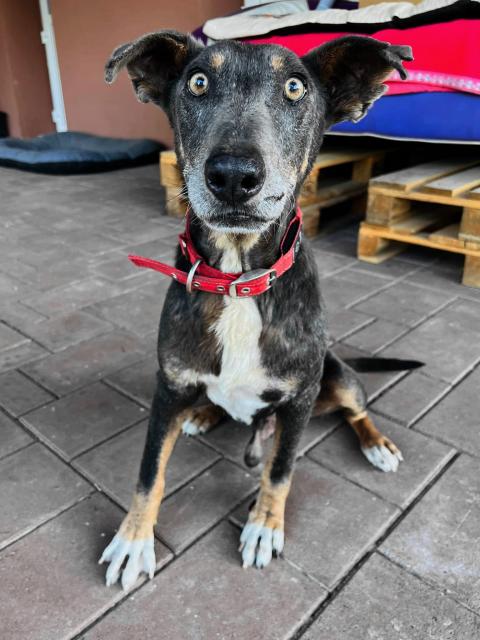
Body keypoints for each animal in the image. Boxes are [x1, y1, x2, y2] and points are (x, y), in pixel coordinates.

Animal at [99, 31, 415, 590]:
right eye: (198, 82)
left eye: (294, 88)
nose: (232, 175)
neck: (238, 280)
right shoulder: (168, 387)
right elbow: (148, 473)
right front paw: (133, 540)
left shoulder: (300, 398)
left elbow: (280, 470)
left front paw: (264, 526)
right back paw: (203, 413)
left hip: (335, 376)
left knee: (356, 407)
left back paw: (378, 444)